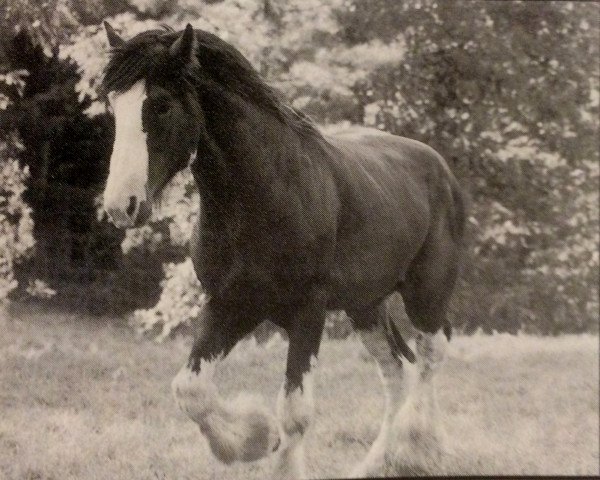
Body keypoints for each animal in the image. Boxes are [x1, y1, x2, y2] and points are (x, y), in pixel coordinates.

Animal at [101, 23, 466, 480]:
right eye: (114, 106)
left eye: (162, 105)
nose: (121, 206)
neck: (266, 195)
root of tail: (442, 169)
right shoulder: (231, 304)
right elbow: (191, 390)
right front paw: (253, 438)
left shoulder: (307, 310)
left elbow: (295, 413)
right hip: (366, 306)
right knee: (398, 369)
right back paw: (379, 462)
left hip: (425, 295)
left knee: (432, 356)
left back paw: (417, 450)